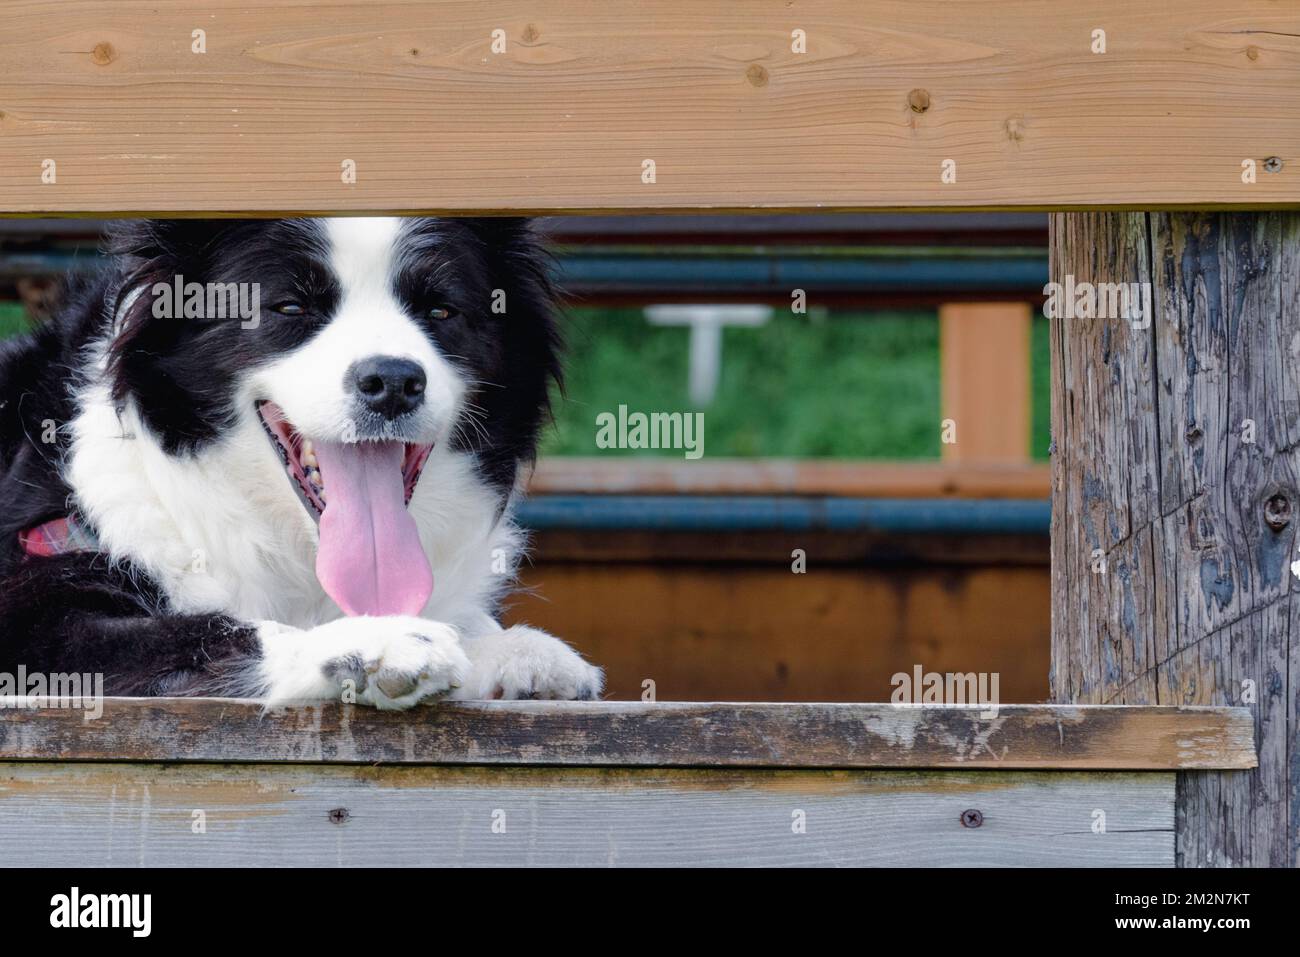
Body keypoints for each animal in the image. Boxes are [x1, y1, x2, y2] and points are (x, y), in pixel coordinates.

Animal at [0, 221, 603, 707]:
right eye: (291, 307)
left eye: (441, 310)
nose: (392, 383)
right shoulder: (31, 618)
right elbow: (215, 629)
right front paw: (378, 641)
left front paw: (508, 650)